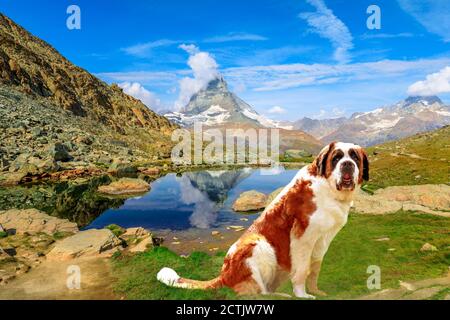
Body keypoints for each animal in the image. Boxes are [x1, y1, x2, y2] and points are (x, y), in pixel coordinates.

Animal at [157, 141, 370, 298]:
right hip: (259, 245)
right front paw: (303, 295)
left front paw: (317, 291)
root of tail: (223, 275)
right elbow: (302, 269)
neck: (328, 189)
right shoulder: (303, 237)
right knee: (257, 292)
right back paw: (281, 296)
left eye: (354, 157)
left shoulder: (323, 240)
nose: (347, 164)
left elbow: (315, 268)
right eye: (337, 158)